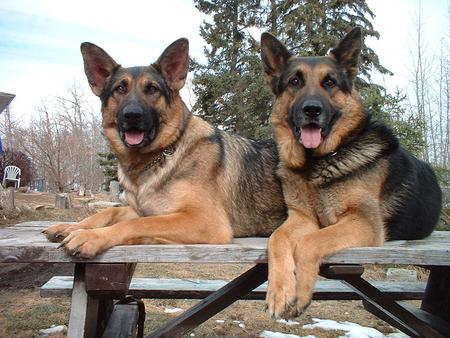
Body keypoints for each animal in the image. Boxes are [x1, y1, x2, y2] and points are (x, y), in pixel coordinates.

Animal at [44, 38, 286, 258]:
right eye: (120, 89)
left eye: (152, 89)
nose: (132, 115)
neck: (165, 151)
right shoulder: (140, 210)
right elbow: (109, 212)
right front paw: (71, 226)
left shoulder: (204, 220)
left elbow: (139, 224)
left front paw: (91, 236)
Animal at [262, 27, 442, 318]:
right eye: (295, 81)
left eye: (330, 82)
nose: (311, 109)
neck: (319, 162)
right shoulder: (301, 218)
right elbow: (276, 240)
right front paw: (280, 291)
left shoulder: (363, 221)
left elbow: (311, 241)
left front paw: (300, 291)